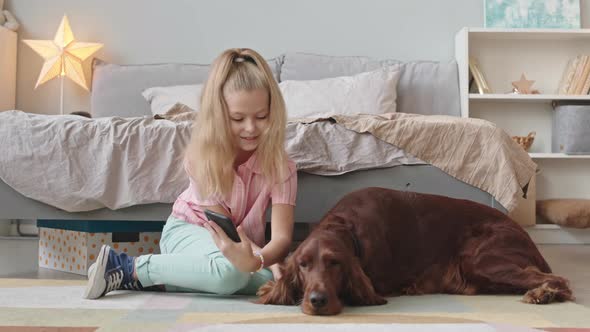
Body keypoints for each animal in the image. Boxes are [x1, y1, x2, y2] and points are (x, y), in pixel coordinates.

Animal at [258, 188, 572, 316]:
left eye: (334, 263)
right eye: (303, 264)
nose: (317, 301)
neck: (348, 227)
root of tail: (526, 235)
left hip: (479, 259)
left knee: (559, 280)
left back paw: (542, 294)